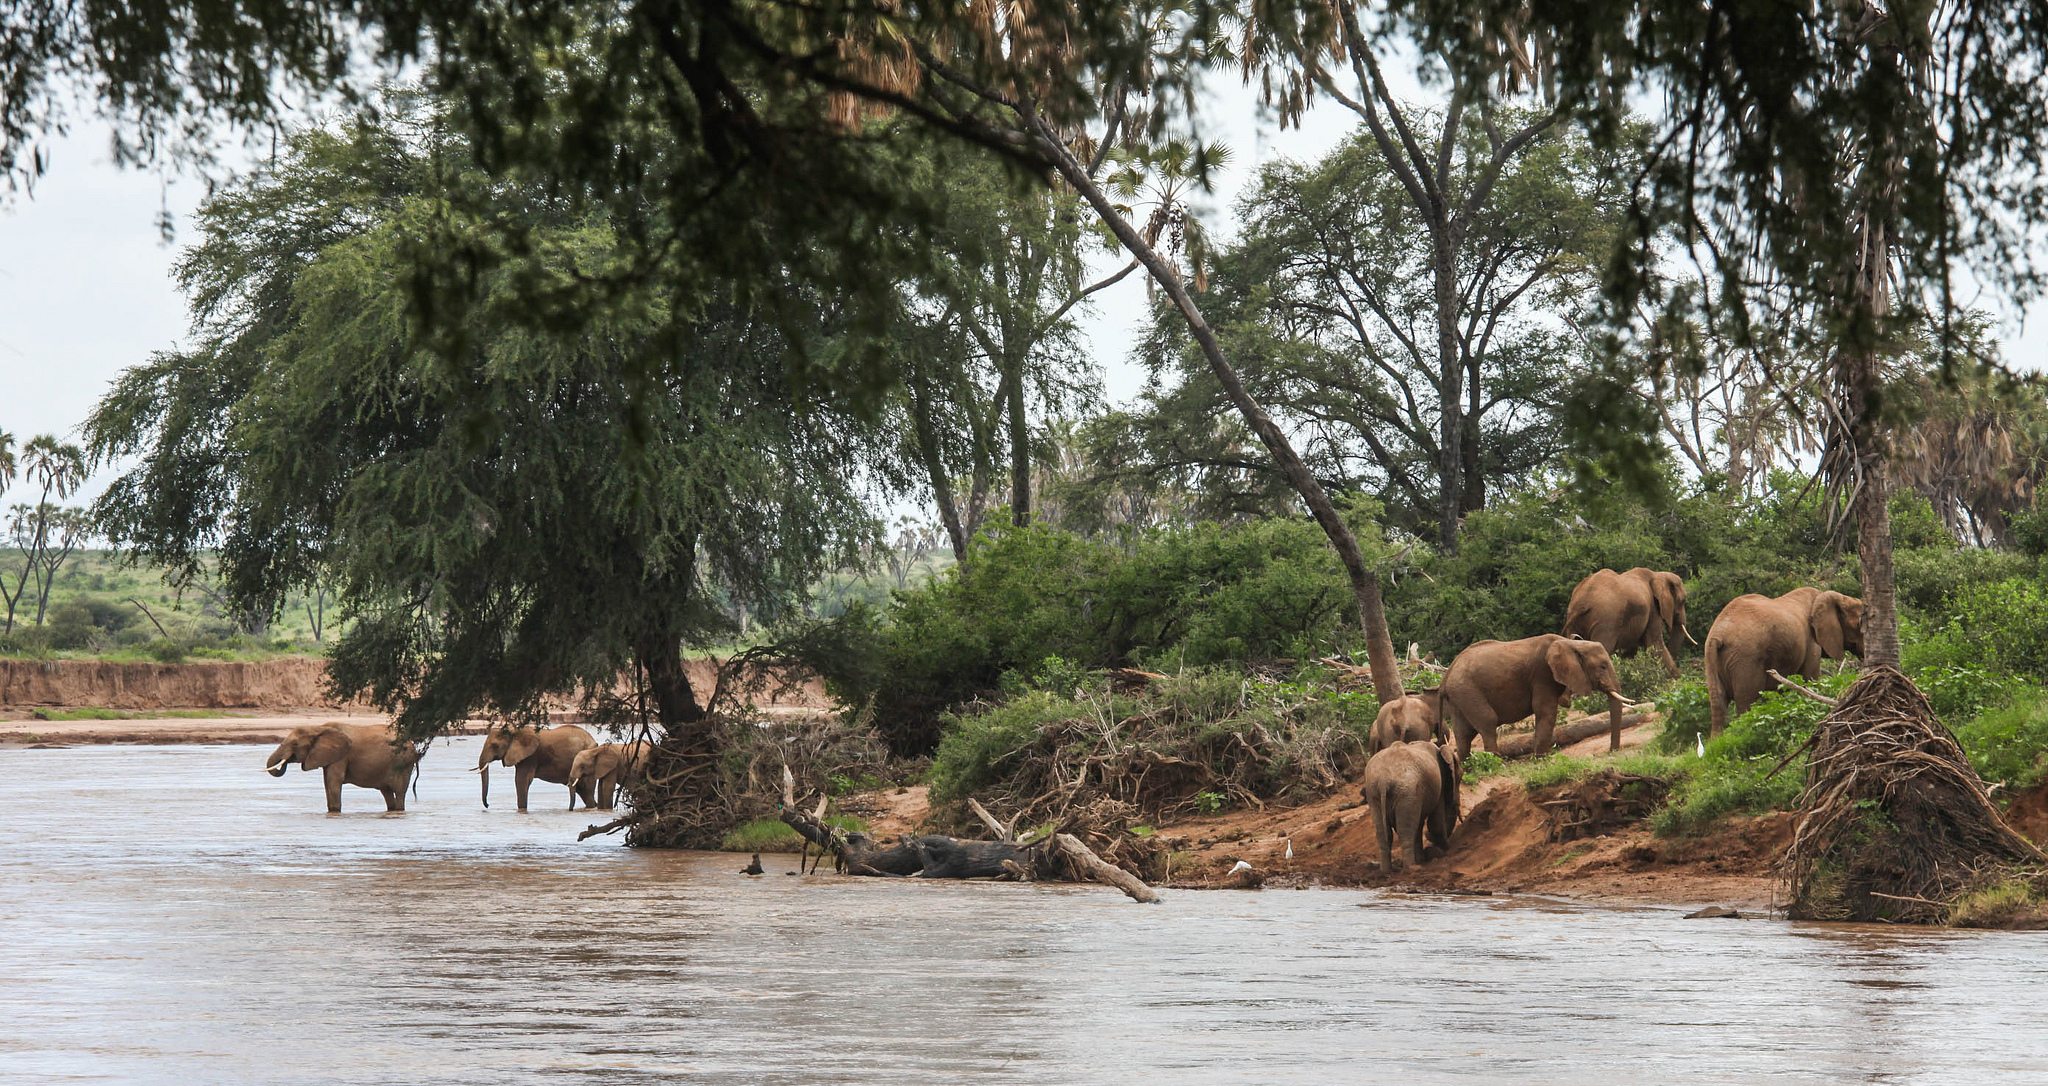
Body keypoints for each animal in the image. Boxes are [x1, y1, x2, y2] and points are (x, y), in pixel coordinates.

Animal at [264, 717, 423, 811]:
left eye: (295, 744)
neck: (318, 728)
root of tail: (413, 747)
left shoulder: (342, 755)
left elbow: (334, 781)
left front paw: (335, 812)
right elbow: (327, 782)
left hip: (404, 764)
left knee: (399, 792)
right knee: (387, 792)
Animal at [1359, 733, 1458, 868]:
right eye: (1460, 777)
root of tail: (1384, 780)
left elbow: (1419, 824)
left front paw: (1423, 857)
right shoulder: (1438, 784)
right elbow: (1435, 821)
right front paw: (1444, 849)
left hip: (1374, 793)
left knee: (1384, 833)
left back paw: (1386, 870)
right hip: (1406, 792)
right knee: (1405, 831)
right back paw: (1412, 868)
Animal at [1433, 631, 1638, 758]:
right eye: (1602, 666)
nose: (1612, 751)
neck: (1569, 643)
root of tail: (1445, 677)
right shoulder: (1542, 675)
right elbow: (1545, 712)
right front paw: (1542, 759)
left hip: (1459, 696)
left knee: (1463, 733)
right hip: (1467, 691)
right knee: (1488, 721)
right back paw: (1496, 762)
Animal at [1564, 561, 1695, 672]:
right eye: (1683, 601)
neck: (1657, 574)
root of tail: (1583, 600)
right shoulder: (1653, 608)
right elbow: (1655, 644)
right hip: (1606, 621)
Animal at [1703, 581, 1867, 733]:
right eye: (1859, 624)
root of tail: (1717, 635)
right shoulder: (1811, 642)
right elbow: (1810, 678)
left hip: (1713, 660)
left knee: (1718, 705)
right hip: (1745, 660)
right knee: (1746, 703)